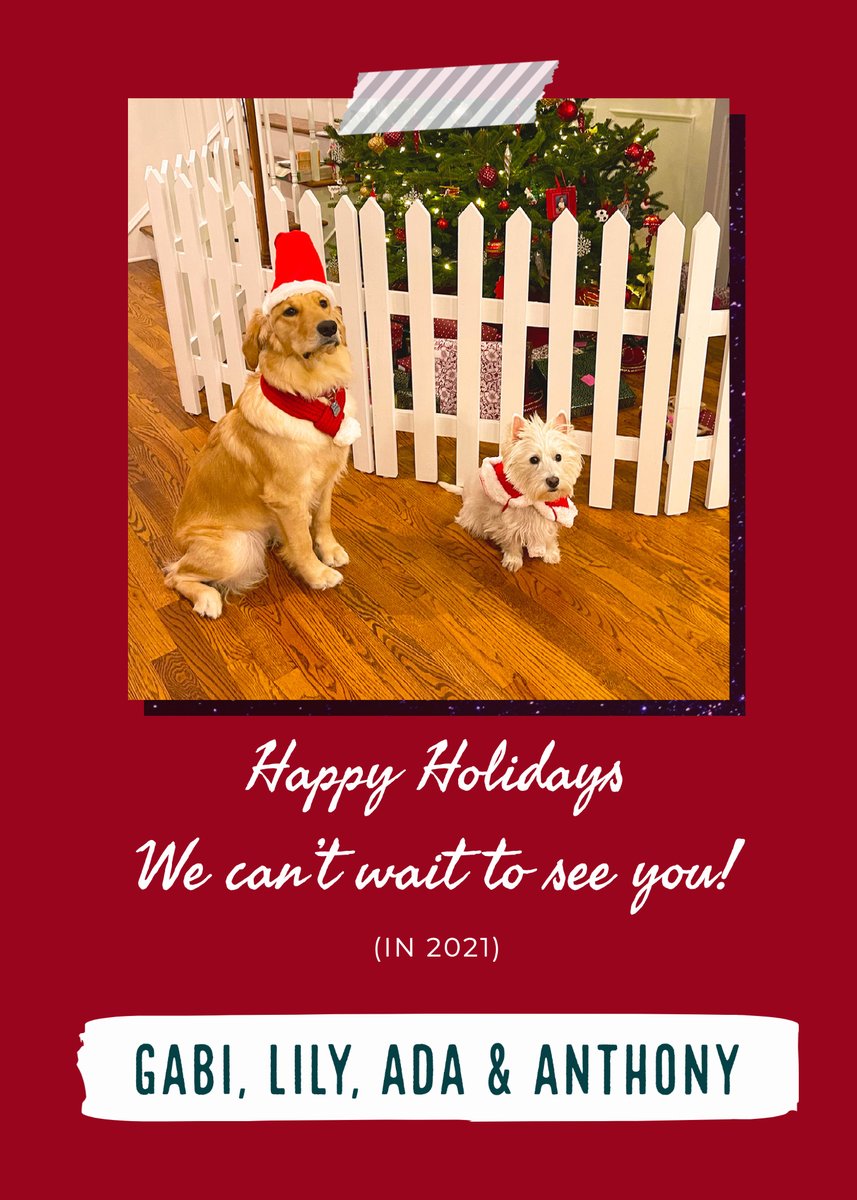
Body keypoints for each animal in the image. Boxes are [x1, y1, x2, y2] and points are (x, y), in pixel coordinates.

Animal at [164, 231, 360, 619]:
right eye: (289, 311)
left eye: (323, 303)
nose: (329, 327)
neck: (310, 398)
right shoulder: (288, 496)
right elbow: (301, 540)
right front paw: (316, 573)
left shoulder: (326, 480)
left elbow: (322, 519)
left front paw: (329, 550)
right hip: (235, 549)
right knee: (174, 573)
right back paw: (207, 599)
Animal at [441, 412, 580, 571]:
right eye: (534, 459)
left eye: (558, 457)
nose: (553, 481)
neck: (534, 500)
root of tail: (464, 492)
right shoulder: (507, 521)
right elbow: (512, 541)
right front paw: (513, 561)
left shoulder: (553, 514)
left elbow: (549, 535)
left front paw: (551, 553)